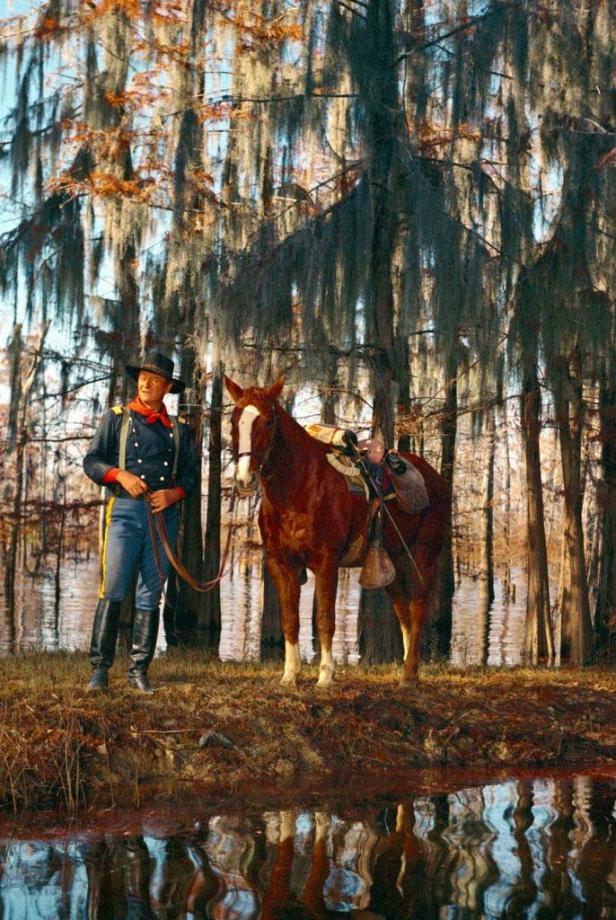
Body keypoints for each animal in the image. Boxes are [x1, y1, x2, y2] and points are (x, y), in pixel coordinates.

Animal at [224, 378, 450, 688]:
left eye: (268, 421)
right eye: (234, 420)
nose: (245, 477)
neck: (301, 485)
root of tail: (435, 478)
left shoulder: (326, 562)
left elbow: (324, 620)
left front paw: (325, 676)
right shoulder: (280, 562)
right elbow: (290, 620)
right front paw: (290, 675)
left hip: (422, 556)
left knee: (417, 608)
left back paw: (408, 675)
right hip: (392, 562)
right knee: (403, 612)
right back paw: (410, 669)